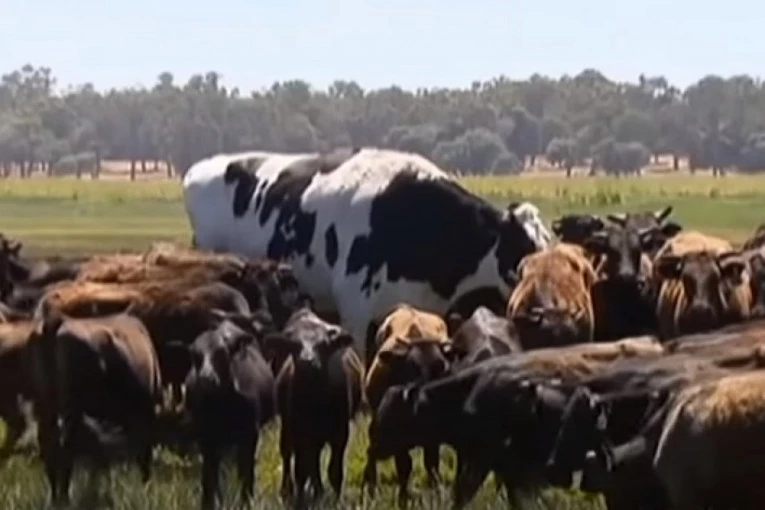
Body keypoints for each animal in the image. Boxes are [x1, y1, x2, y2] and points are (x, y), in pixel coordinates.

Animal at [26, 309, 162, 506]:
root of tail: (57, 321)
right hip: (71, 408)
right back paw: (65, 497)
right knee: (66, 448)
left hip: (46, 405)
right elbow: (144, 453)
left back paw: (55, 498)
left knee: (49, 446)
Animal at [170, 313, 277, 510]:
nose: (206, 378)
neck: (222, 409)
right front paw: (208, 503)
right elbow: (208, 476)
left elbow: (246, 474)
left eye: (222, 353)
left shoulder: (249, 436)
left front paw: (246, 501)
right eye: (194, 356)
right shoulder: (206, 438)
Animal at [263, 307, 363, 508]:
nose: (307, 361)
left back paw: (318, 490)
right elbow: (301, 469)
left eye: (323, 345)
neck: (315, 402)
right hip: (288, 427)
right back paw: (288, 490)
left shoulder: (340, 433)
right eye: (294, 345)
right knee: (288, 454)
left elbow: (334, 471)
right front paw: (301, 499)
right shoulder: (300, 431)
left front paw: (335, 498)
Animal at [362, 303, 452, 503]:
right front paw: (403, 498)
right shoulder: (396, 441)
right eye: (412, 368)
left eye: (442, 368)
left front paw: (436, 494)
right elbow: (404, 466)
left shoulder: (433, 438)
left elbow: (432, 464)